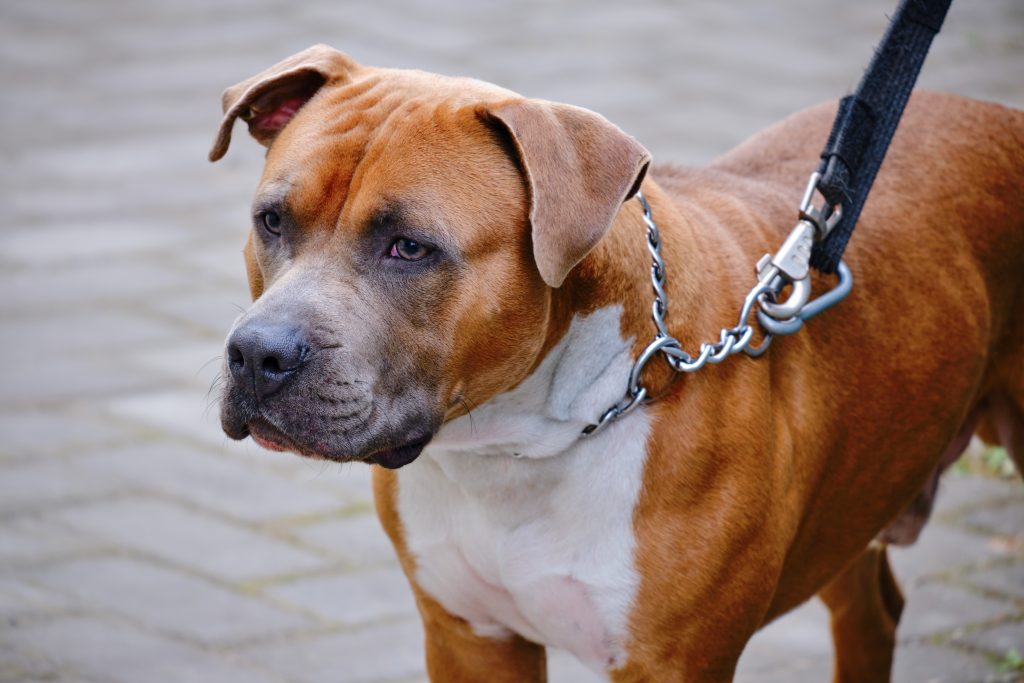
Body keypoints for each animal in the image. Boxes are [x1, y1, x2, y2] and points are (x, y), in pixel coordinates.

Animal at [207, 45, 1024, 679]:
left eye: (409, 246)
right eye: (271, 220)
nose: (258, 352)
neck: (514, 447)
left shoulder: (671, 663)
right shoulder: (469, 638)